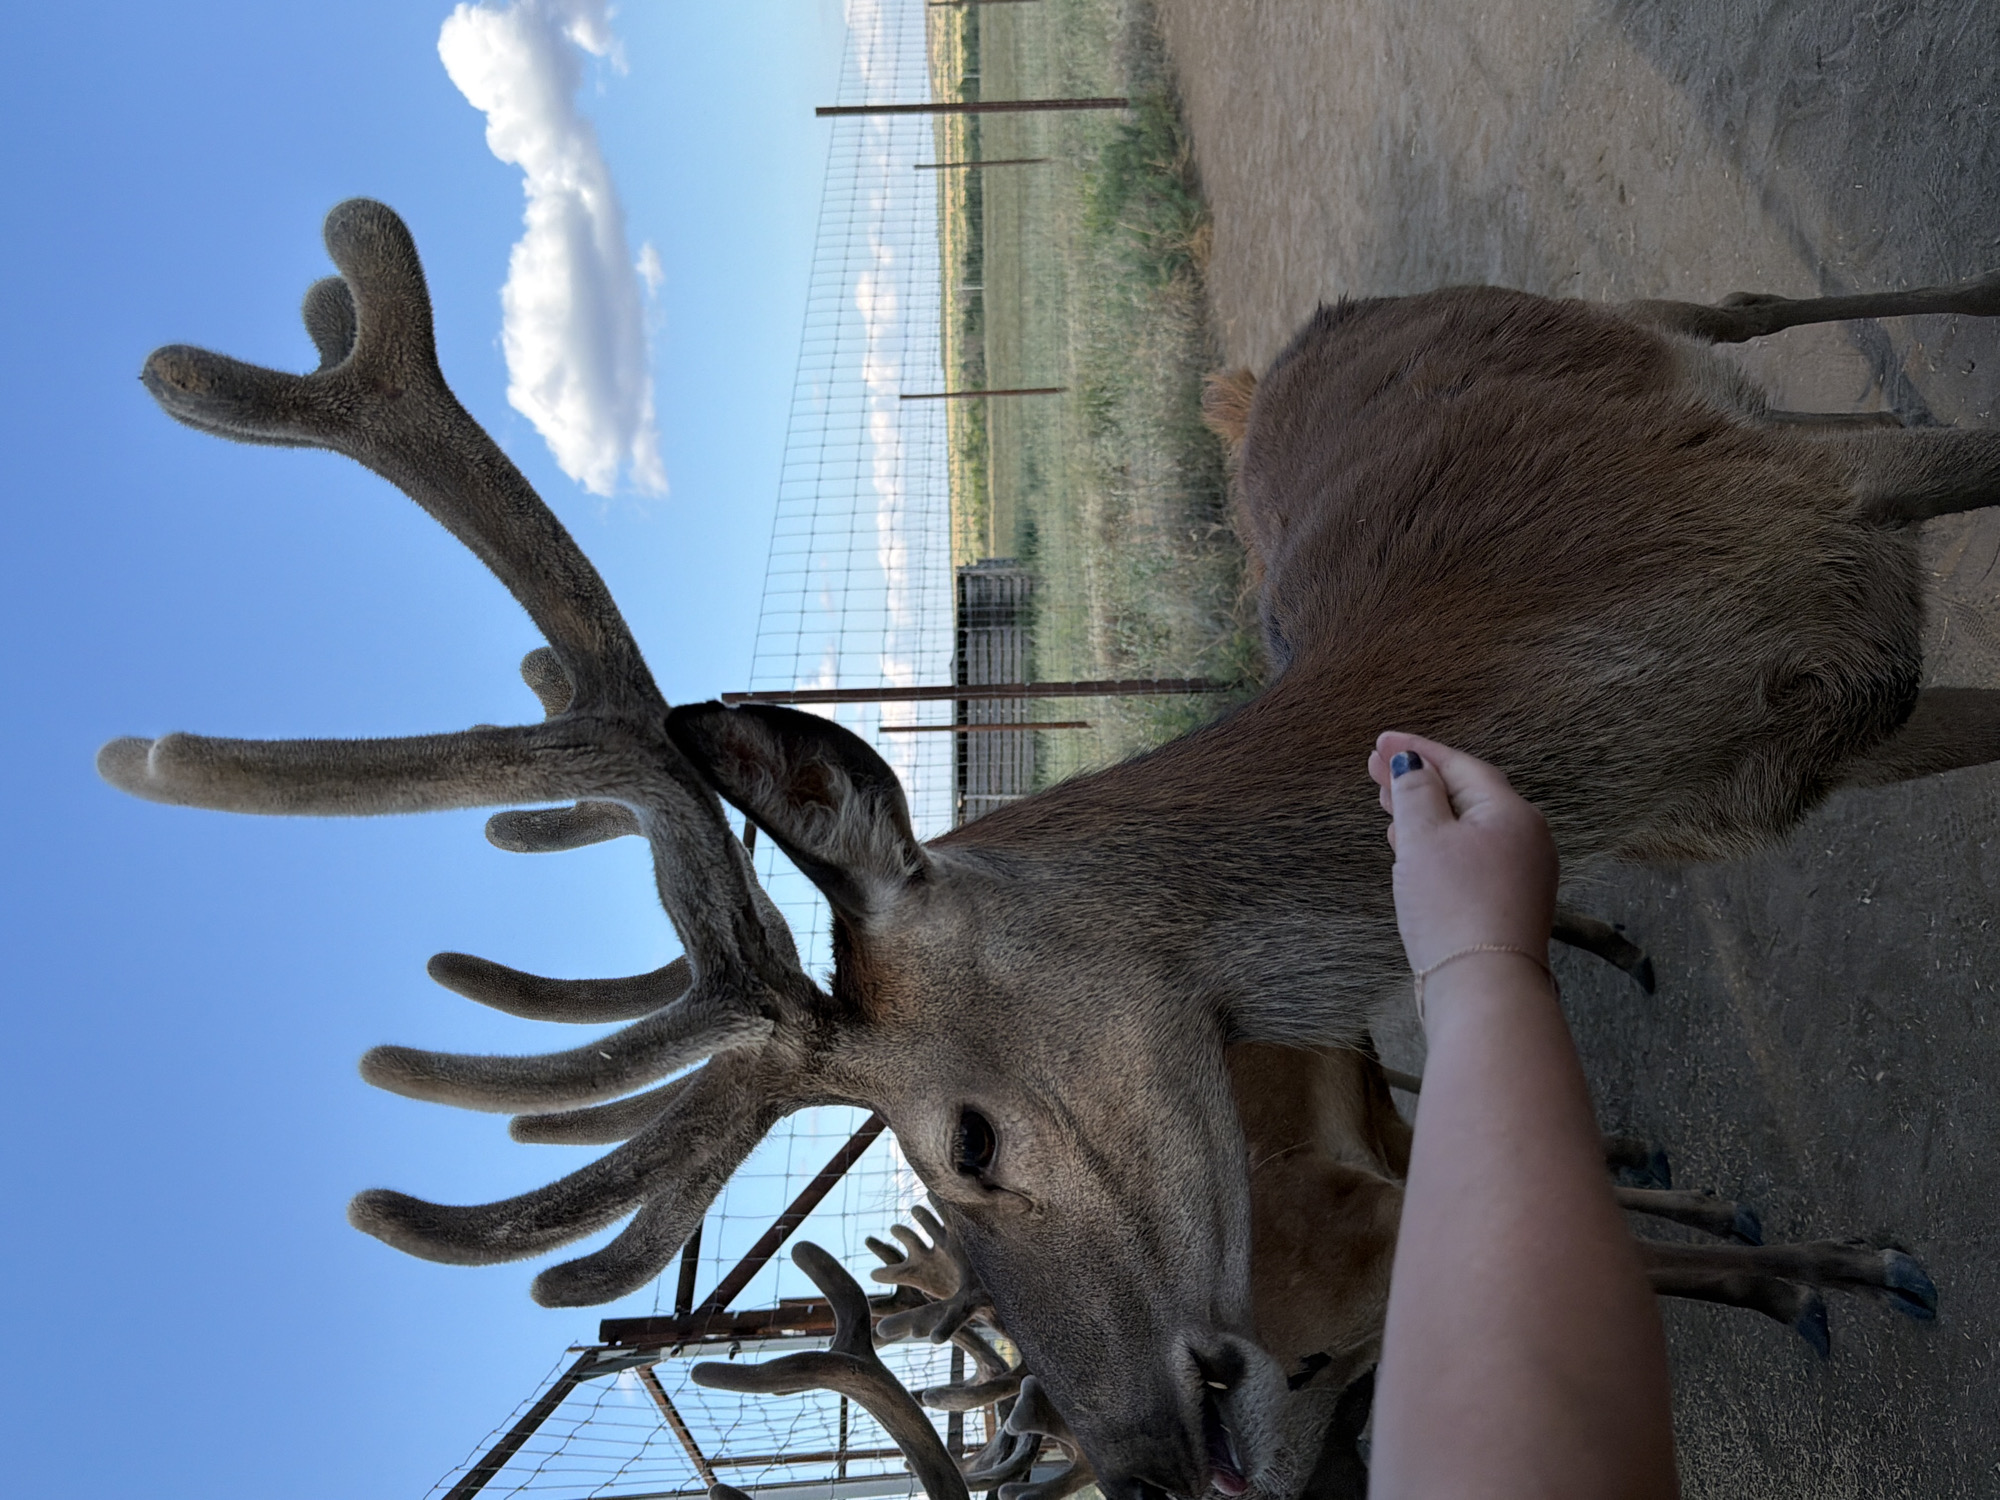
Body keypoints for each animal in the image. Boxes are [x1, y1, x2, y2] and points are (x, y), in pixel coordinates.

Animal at [100, 198, 2000, 1500]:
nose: (1141, 1457)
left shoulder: (1825, 537)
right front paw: (1850, 1264)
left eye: (967, 1139)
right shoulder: (1802, 760)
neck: (1608, 698)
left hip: (1642, 352)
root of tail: (1278, 355)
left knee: (1744, 305)